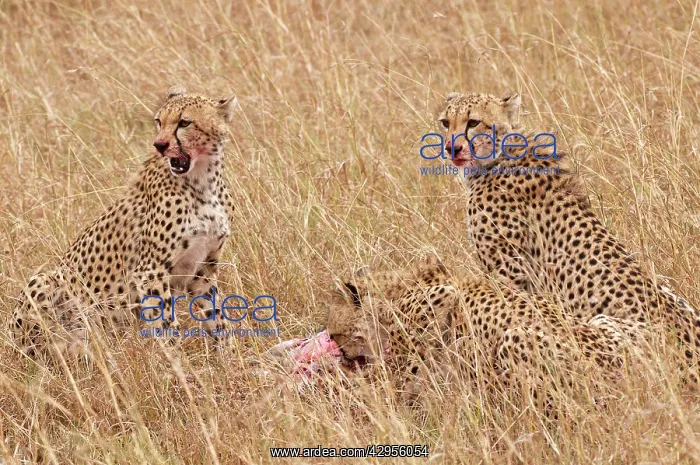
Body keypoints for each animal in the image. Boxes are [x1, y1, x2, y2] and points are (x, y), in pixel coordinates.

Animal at [9, 86, 238, 358]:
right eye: (159, 121)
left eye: (185, 122)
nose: (159, 145)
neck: (203, 181)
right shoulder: (150, 271)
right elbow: (166, 323)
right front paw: (177, 362)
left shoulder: (202, 269)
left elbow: (217, 315)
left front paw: (228, 356)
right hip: (46, 281)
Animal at [326, 256, 649, 406]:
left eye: (335, 334)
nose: (342, 354)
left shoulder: (441, 298)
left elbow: (405, 367)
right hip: (605, 321)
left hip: (513, 341)